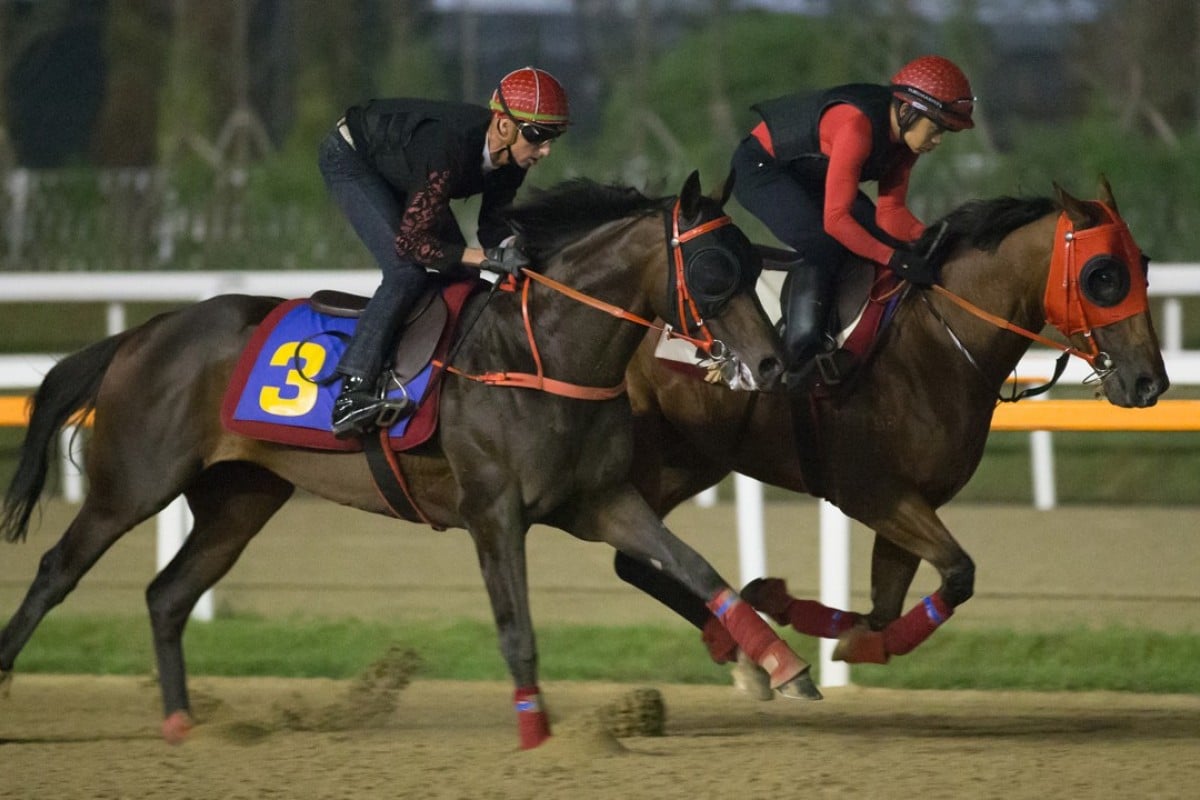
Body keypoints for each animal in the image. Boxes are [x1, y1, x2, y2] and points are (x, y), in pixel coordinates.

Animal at [0, 170, 820, 753]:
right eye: (714, 268)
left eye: (754, 261)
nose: (773, 364)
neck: (537, 353)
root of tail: (144, 332)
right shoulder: (494, 512)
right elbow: (516, 626)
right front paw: (538, 736)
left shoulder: (601, 501)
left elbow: (698, 570)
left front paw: (785, 666)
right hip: (133, 484)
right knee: (56, 571)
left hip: (240, 499)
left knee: (168, 595)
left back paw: (183, 725)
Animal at [614, 179, 1166, 676]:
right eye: (1103, 276)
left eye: (1142, 265)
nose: (1149, 382)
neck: (935, 343)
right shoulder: (873, 492)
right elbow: (959, 573)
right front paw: (838, 635)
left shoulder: (917, 499)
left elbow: (887, 609)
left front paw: (795, 608)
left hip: (689, 459)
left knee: (635, 559)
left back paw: (731, 640)